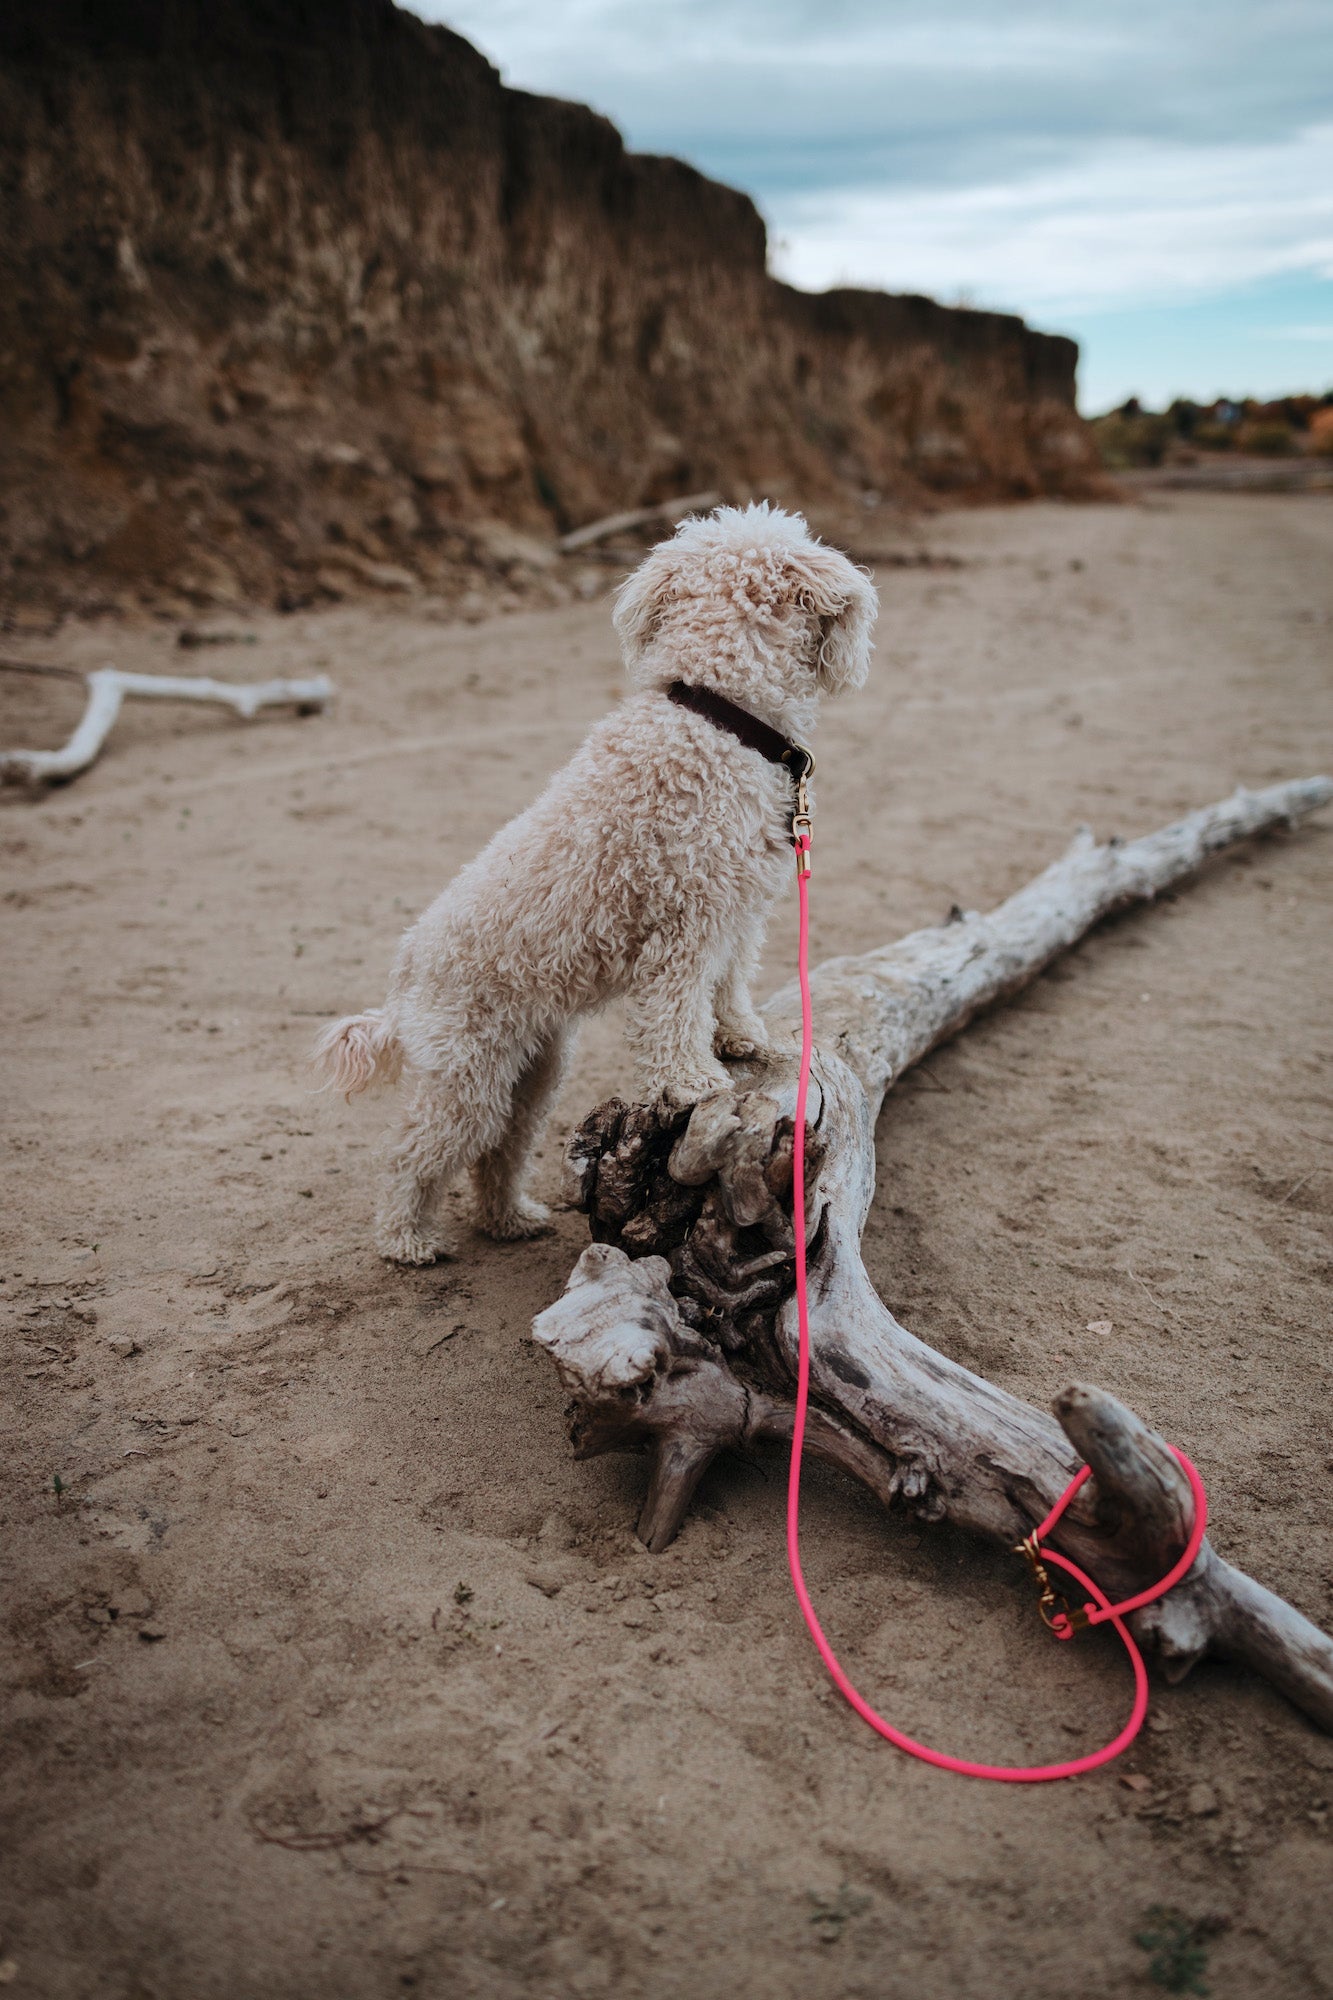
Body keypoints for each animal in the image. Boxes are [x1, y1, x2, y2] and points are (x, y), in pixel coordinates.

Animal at [310, 508, 872, 1272]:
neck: (715, 715)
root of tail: (402, 985)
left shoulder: (734, 911)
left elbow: (728, 985)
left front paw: (742, 1039)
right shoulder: (683, 924)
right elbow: (675, 1013)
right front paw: (692, 1080)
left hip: (532, 1075)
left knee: (498, 1153)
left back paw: (509, 1220)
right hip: (465, 1078)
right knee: (411, 1155)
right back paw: (407, 1240)